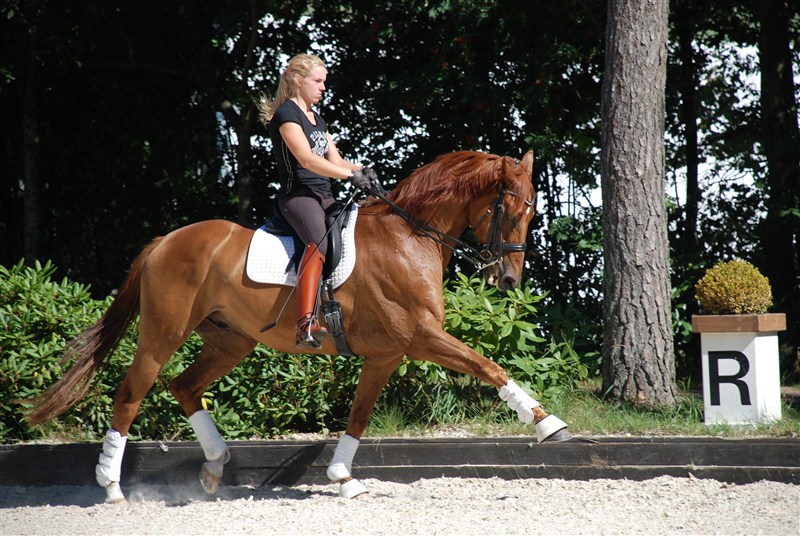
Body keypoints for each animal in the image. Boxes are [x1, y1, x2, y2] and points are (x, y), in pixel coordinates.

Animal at [26, 150, 568, 502]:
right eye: (511, 209)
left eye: (533, 211)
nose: (508, 279)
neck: (410, 236)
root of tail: (165, 241)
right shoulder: (421, 337)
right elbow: (489, 366)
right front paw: (548, 423)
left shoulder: (387, 353)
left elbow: (359, 414)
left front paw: (343, 477)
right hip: (162, 335)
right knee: (131, 393)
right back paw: (112, 486)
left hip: (231, 341)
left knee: (185, 387)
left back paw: (214, 467)